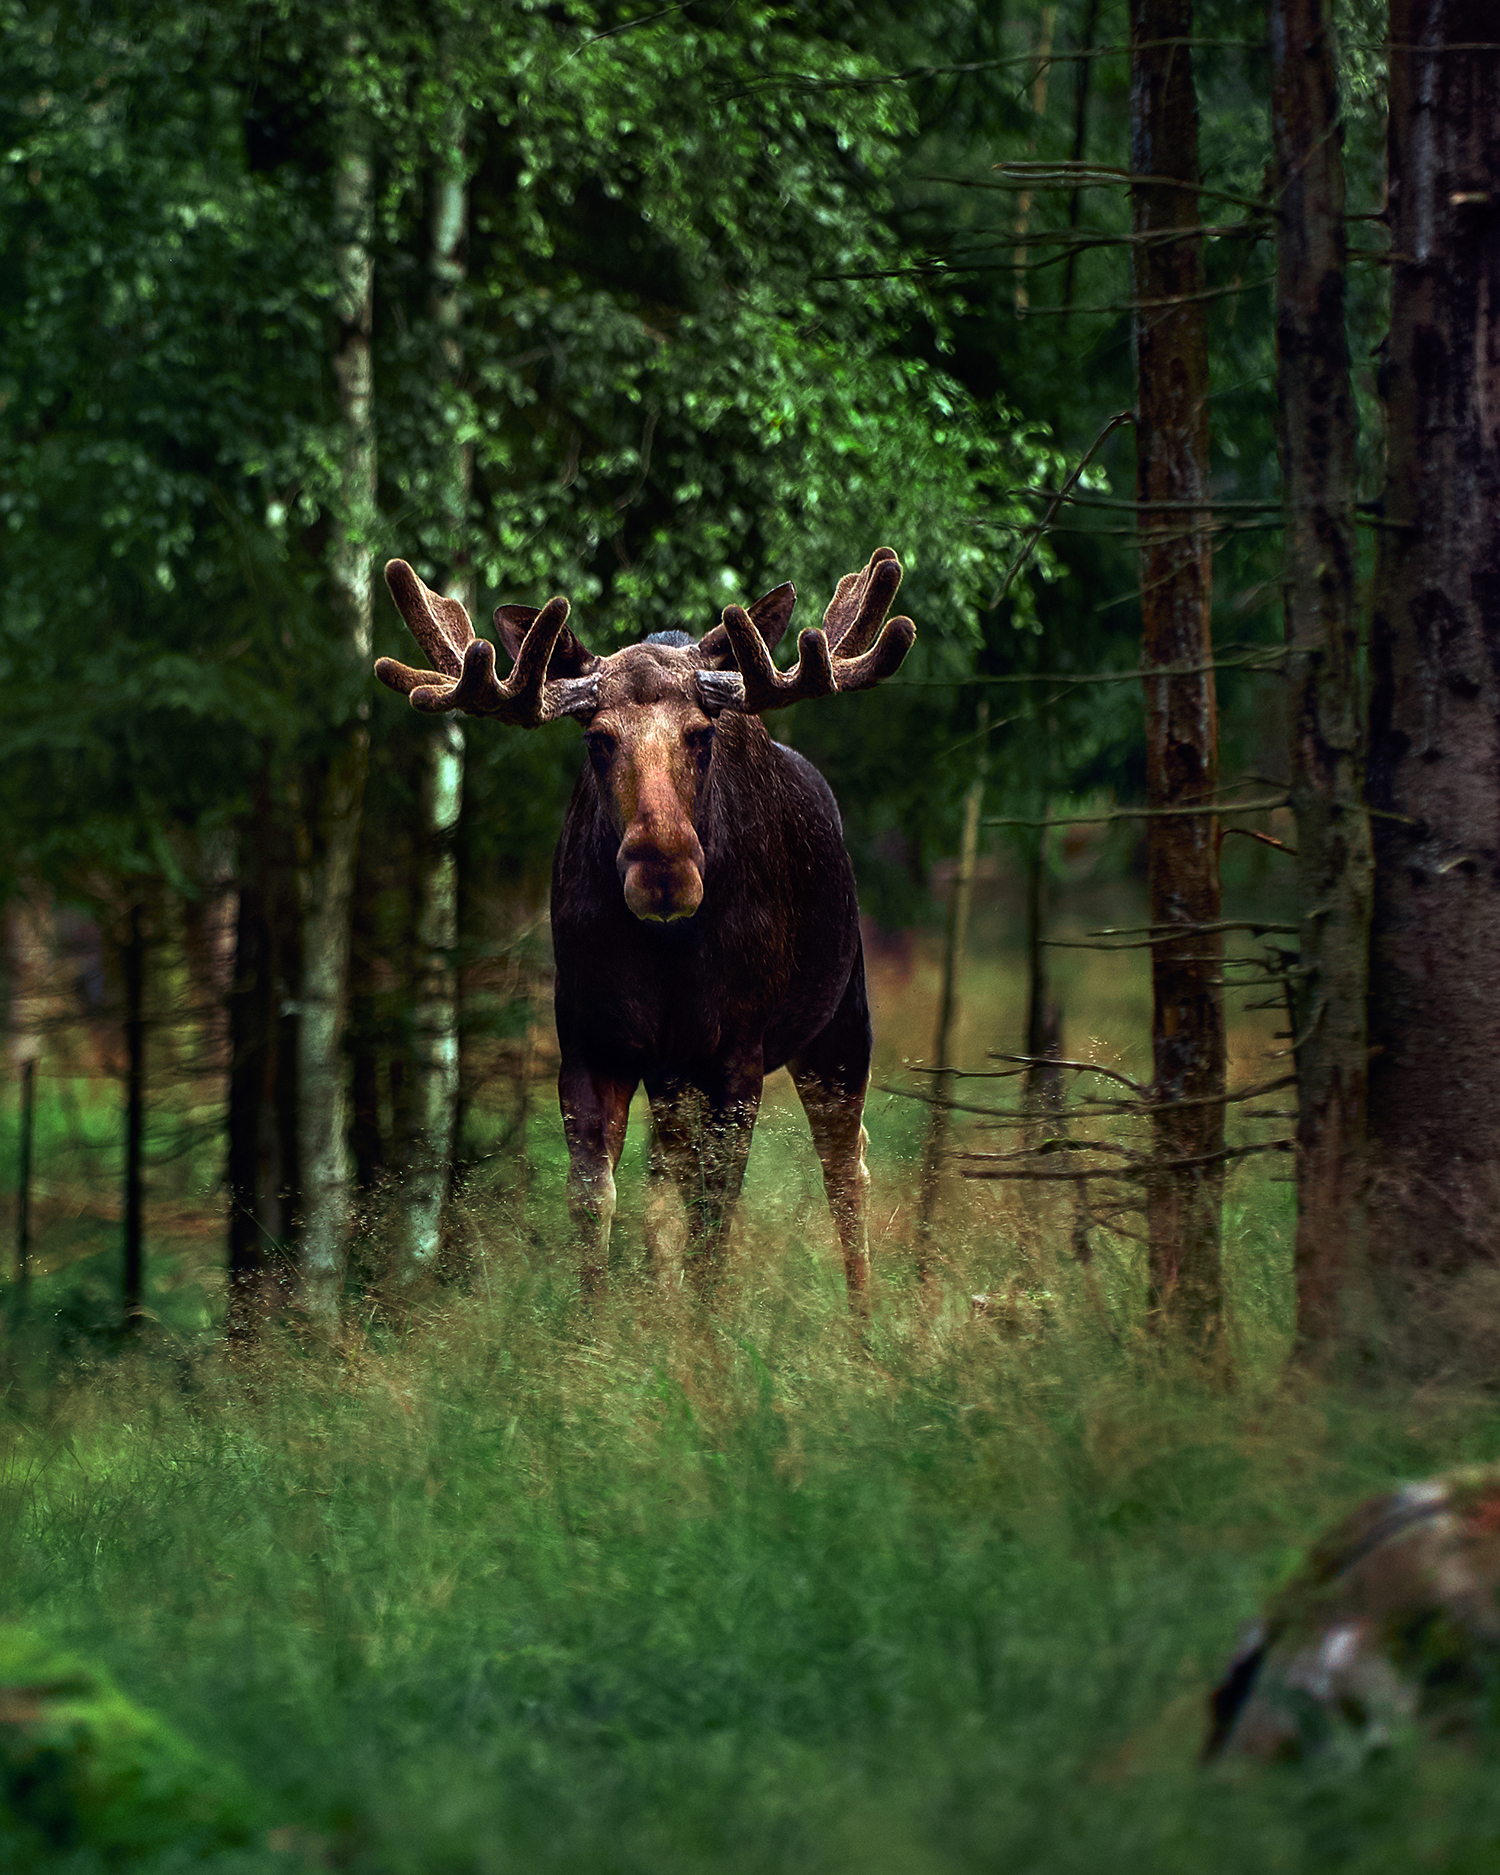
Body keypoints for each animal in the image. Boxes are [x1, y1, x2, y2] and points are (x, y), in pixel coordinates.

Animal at [375, 548, 915, 1306]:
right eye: (598, 740)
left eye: (703, 734)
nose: (664, 869)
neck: (669, 954)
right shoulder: (592, 1044)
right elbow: (596, 1205)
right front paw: (602, 1327)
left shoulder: (736, 1055)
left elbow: (714, 1225)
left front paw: (705, 1336)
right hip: (672, 1074)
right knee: (666, 1184)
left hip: (842, 1018)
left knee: (846, 1164)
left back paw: (863, 1321)